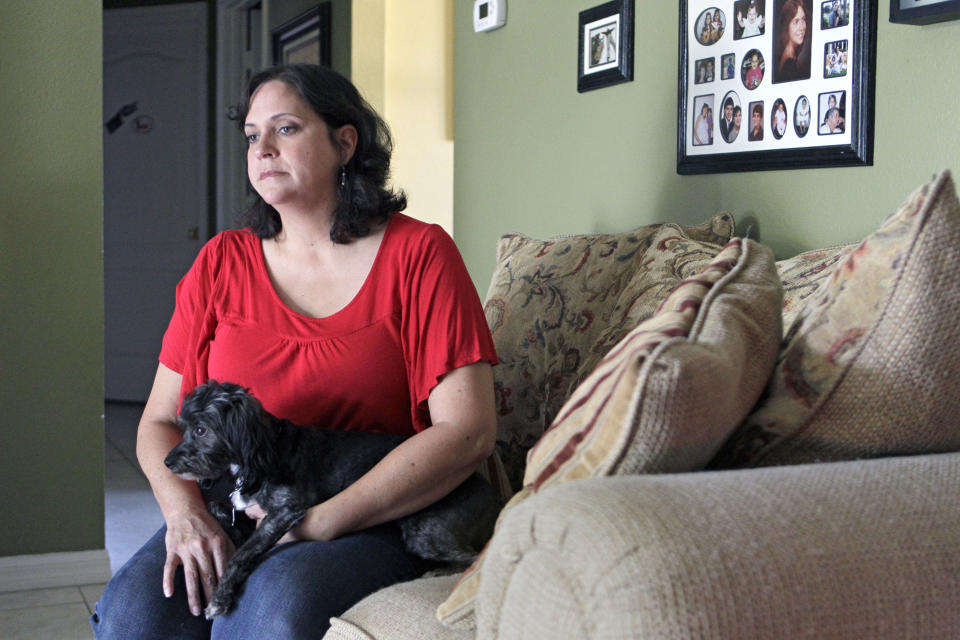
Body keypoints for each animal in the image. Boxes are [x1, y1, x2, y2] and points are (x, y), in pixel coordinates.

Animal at [163, 380, 502, 620]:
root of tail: (495, 498)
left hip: (425, 533)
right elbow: (218, 508)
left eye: (201, 430)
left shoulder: (287, 509)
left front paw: (219, 600)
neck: (261, 453)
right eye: (183, 428)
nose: (167, 463)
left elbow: (242, 554)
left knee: (474, 558)